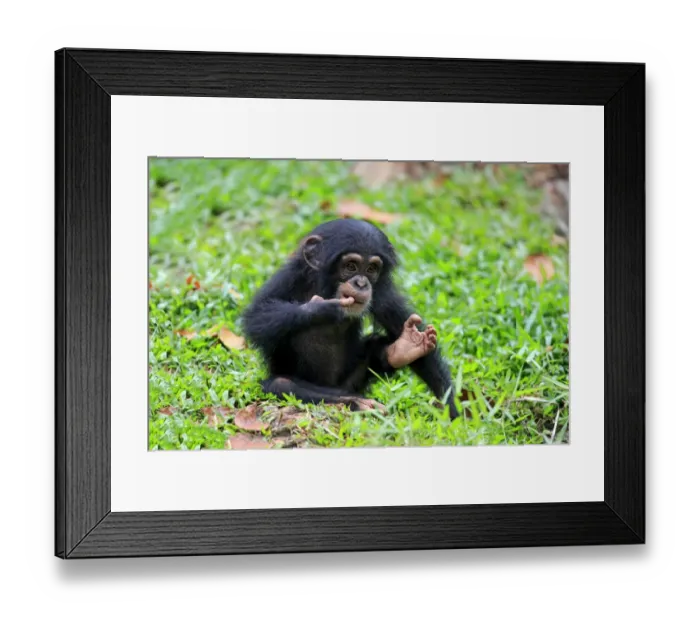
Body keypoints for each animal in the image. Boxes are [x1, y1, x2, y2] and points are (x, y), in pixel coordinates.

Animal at [241, 218, 461, 418]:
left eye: (371, 269)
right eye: (351, 266)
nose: (362, 283)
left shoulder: (383, 293)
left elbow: (401, 328)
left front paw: (450, 411)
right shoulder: (289, 277)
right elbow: (257, 316)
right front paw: (323, 308)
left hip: (351, 382)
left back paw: (405, 348)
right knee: (282, 385)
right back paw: (356, 402)